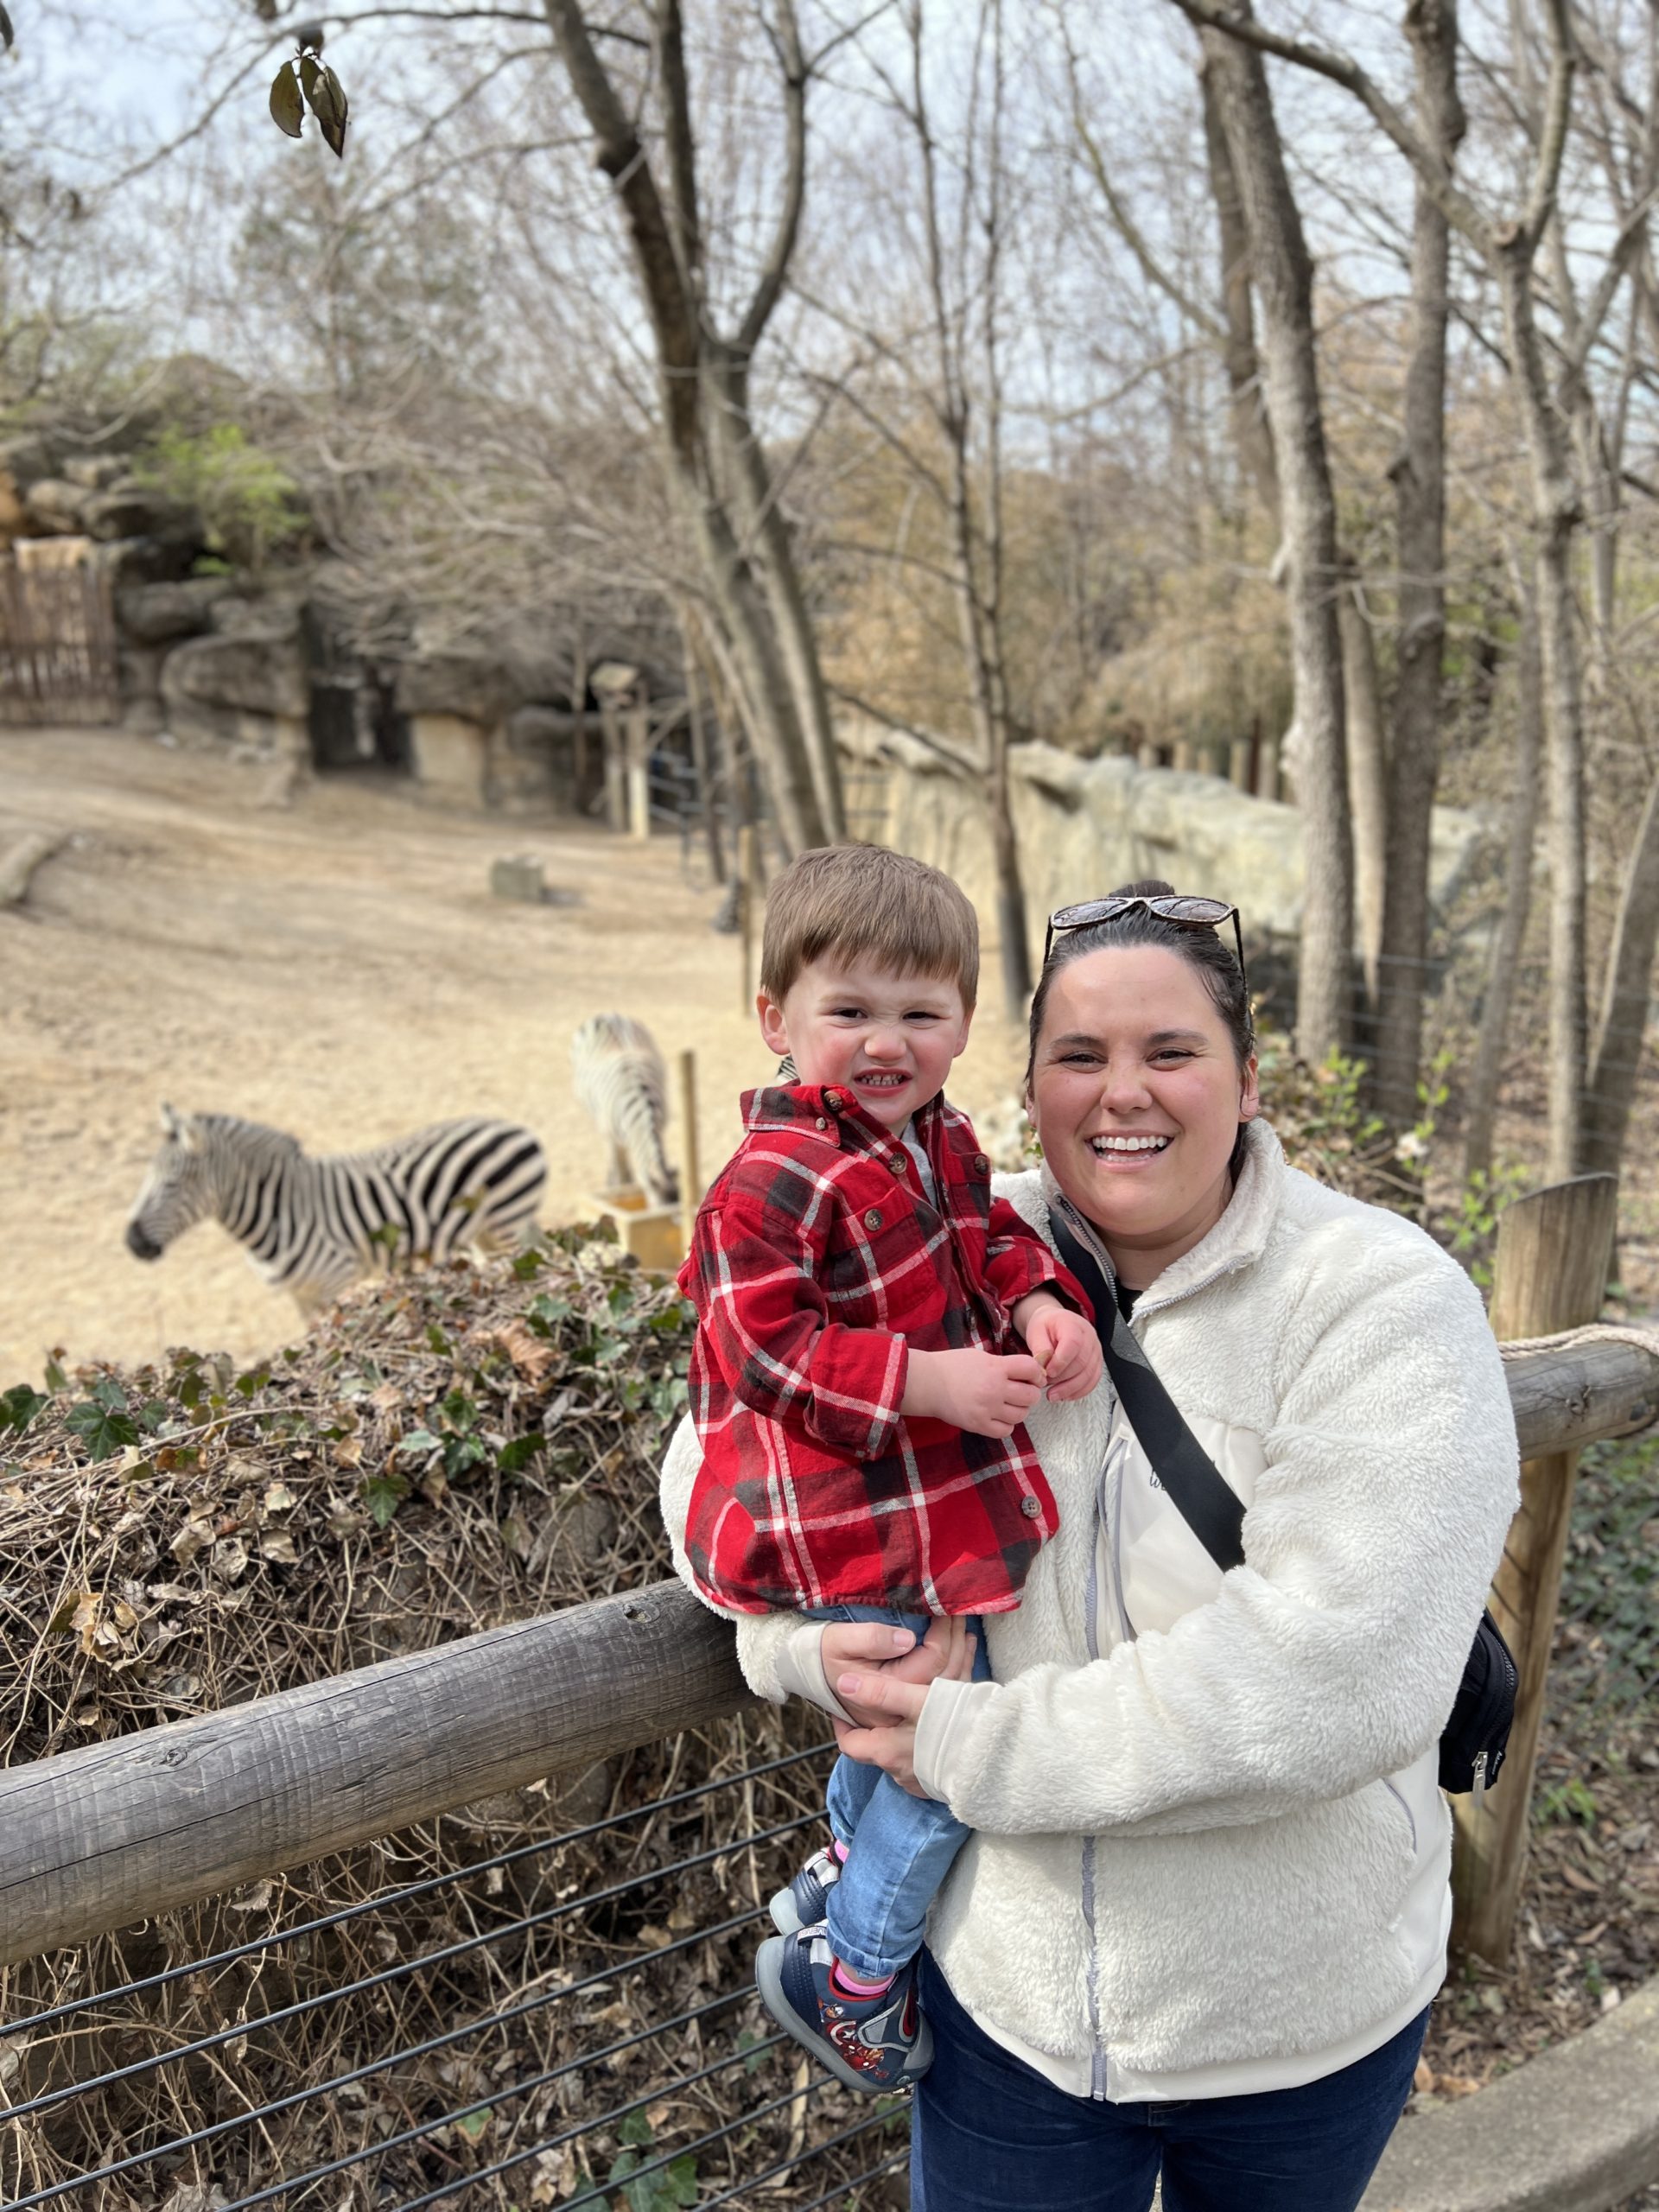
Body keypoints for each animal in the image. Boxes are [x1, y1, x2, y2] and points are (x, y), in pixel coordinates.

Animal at [128, 1106, 553, 1309]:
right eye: (145, 1176)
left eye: (173, 1184)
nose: (132, 1243)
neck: (280, 1210)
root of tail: (518, 1128)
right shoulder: (300, 1295)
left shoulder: (335, 1280)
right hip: (485, 1233)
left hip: (509, 1221)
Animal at [570, 1013, 677, 1211]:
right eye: (658, 1209)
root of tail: (607, 1016)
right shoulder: (608, 1134)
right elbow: (617, 1162)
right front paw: (619, 1186)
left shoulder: (660, 1125)